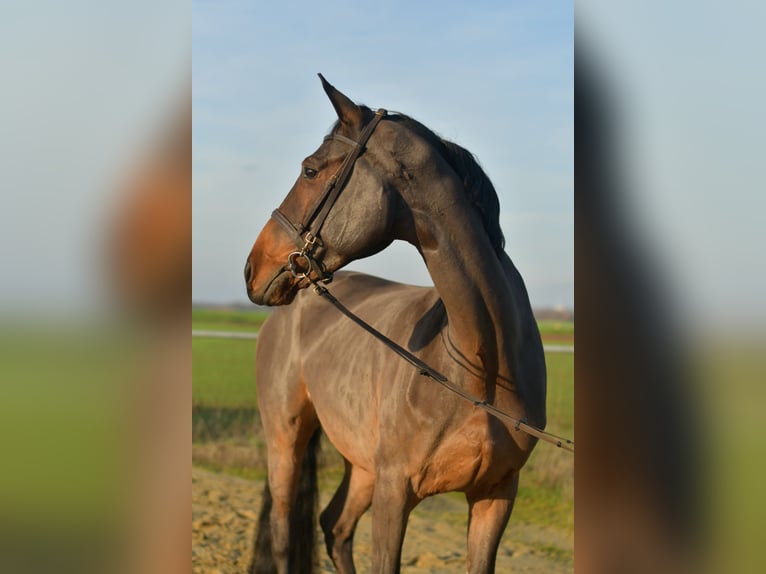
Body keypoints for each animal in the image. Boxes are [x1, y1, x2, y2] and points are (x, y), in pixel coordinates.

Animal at [244, 75, 546, 574]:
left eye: (310, 170)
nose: (253, 267)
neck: (479, 368)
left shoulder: (495, 496)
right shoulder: (395, 492)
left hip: (360, 465)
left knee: (335, 526)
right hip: (286, 439)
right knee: (286, 534)